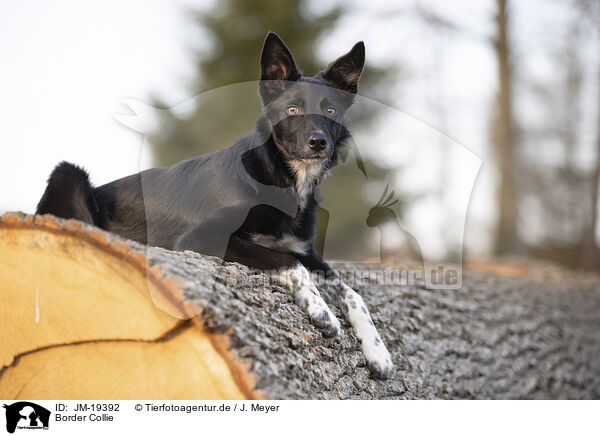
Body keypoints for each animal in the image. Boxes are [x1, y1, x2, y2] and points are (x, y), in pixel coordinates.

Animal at [37, 32, 394, 378]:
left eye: (331, 111)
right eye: (292, 110)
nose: (319, 143)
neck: (280, 179)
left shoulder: (304, 249)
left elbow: (352, 293)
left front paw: (378, 351)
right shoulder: (201, 238)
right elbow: (288, 262)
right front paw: (322, 310)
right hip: (68, 173)